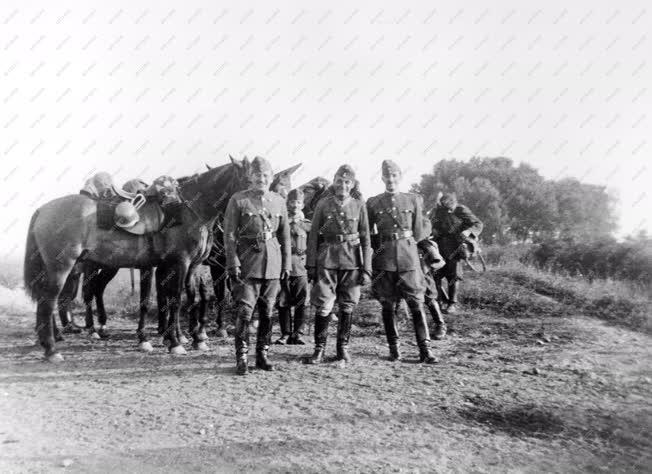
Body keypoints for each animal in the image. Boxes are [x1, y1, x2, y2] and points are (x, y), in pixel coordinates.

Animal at [23, 157, 252, 362]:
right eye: (249, 182)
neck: (187, 211)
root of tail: (42, 210)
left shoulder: (188, 267)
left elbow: (184, 298)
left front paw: (186, 338)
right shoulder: (180, 264)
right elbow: (174, 300)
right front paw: (175, 342)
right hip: (63, 267)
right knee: (52, 300)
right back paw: (54, 348)